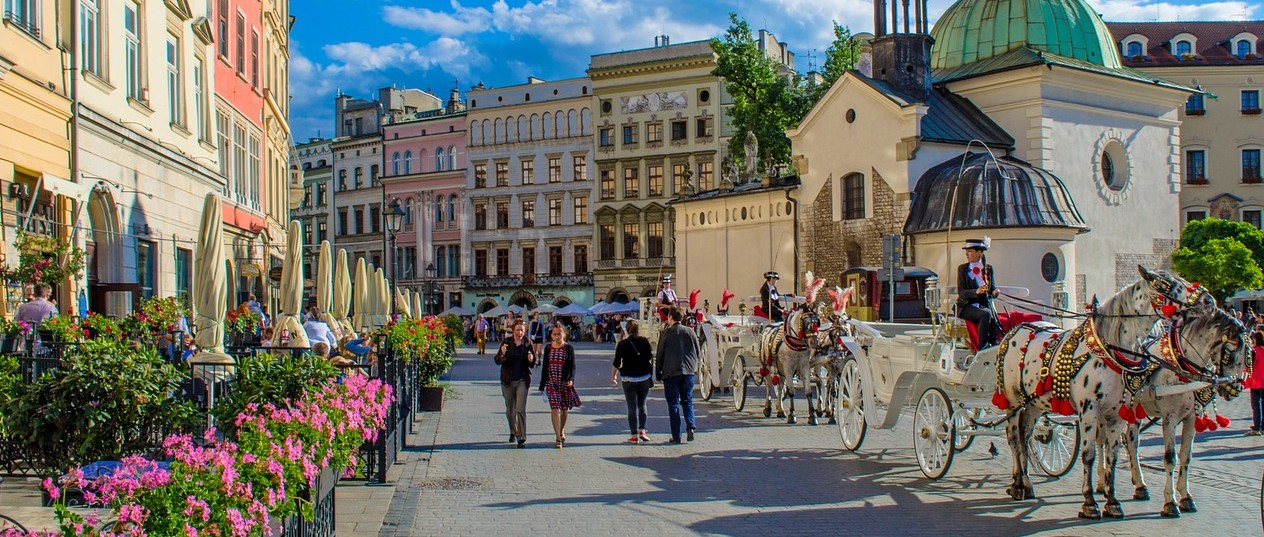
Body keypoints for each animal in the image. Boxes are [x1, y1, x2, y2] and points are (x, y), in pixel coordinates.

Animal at [1001, 265, 1218, 518]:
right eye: (1168, 284)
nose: (1209, 300)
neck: (1111, 349)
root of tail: (1015, 330)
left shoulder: (1117, 414)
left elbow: (1112, 456)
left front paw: (1112, 501)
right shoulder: (1089, 411)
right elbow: (1088, 455)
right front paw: (1089, 502)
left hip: (1034, 404)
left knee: (1025, 436)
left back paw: (1026, 484)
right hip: (1013, 401)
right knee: (1013, 439)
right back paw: (1017, 485)